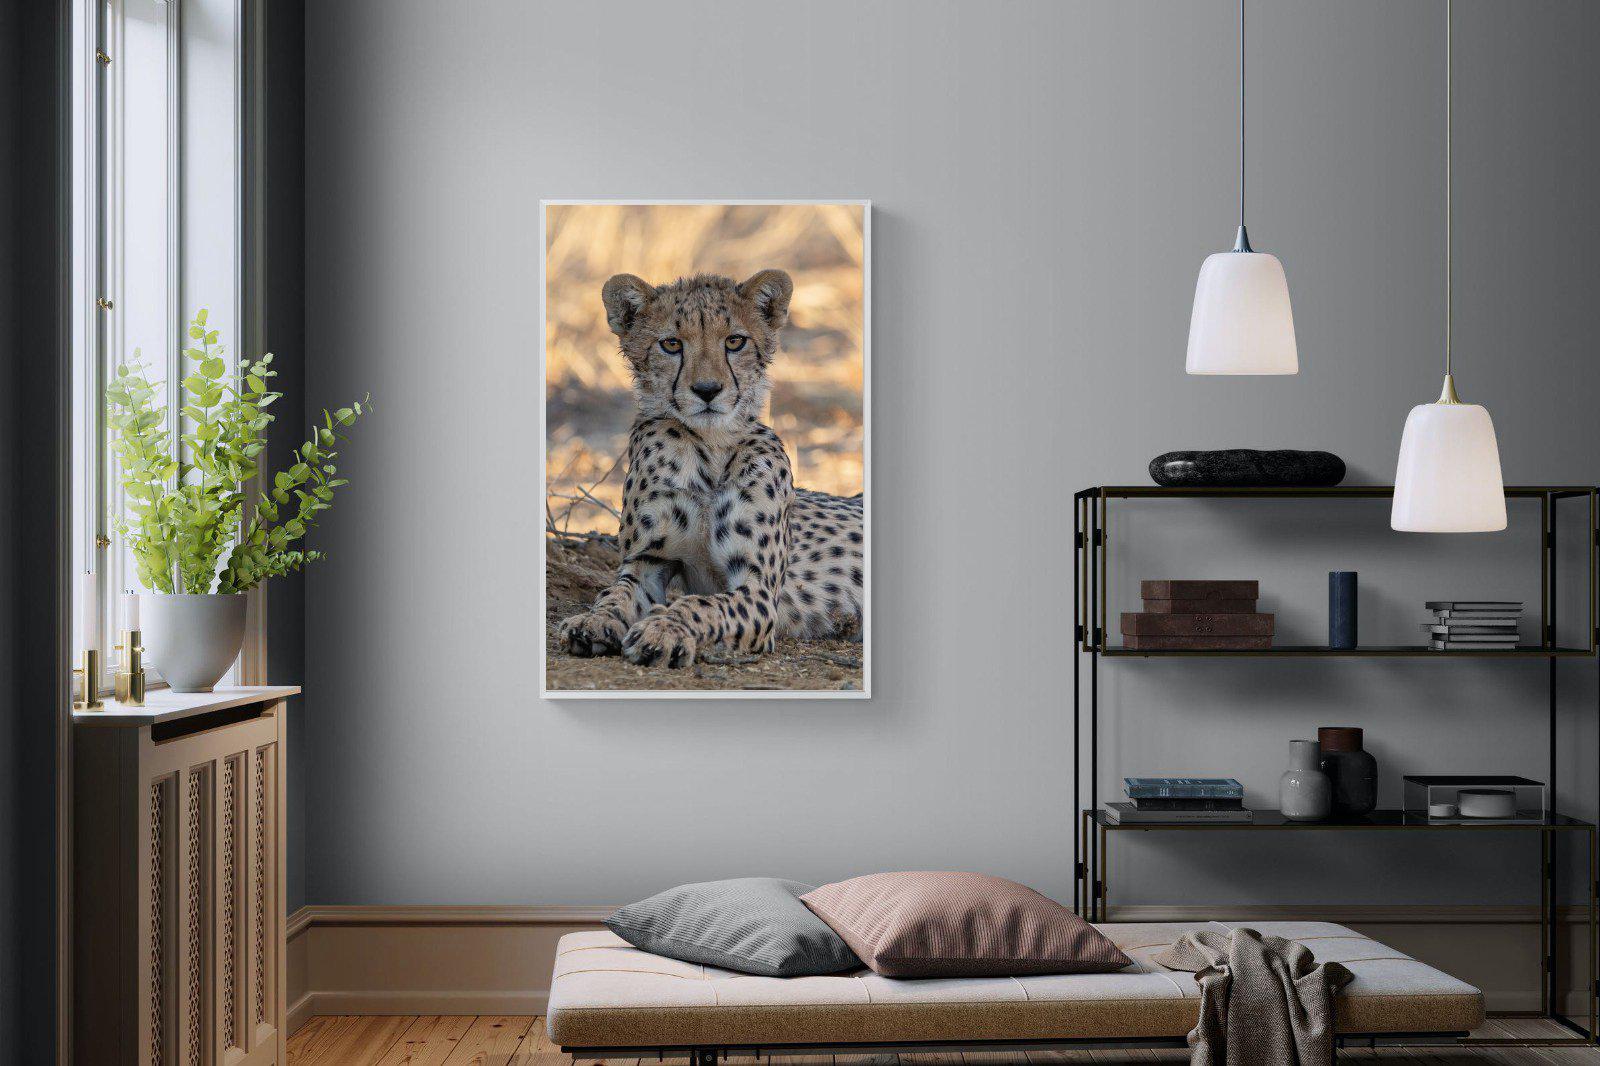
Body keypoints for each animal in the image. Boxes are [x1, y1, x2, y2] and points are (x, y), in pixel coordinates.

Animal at [555, 268, 865, 669]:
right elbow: (615, 593)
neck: (709, 449)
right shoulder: (647, 563)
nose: (707, 390)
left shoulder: (758, 590)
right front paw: (593, 621)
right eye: (671, 344)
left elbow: (701, 605)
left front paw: (663, 630)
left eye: (735, 341)